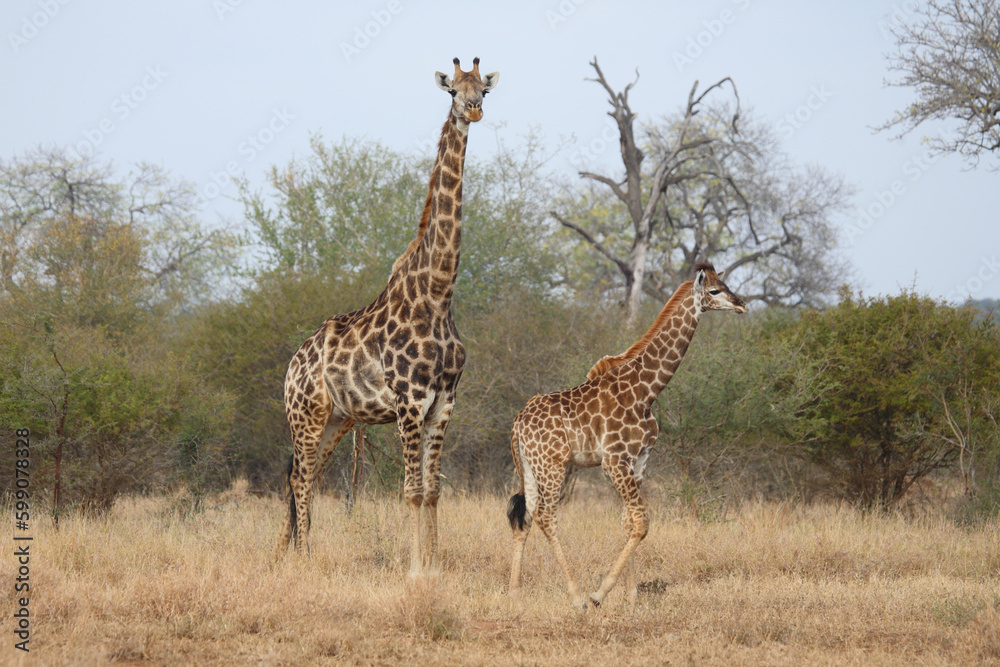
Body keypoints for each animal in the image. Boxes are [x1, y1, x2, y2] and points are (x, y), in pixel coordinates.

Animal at [275, 58, 499, 577]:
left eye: (484, 89)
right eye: (453, 91)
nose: (473, 110)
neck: (438, 294)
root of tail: (293, 365)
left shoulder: (445, 402)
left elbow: (433, 491)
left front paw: (435, 565)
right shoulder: (408, 401)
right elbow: (412, 491)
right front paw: (415, 569)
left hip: (336, 419)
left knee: (306, 475)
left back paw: (294, 552)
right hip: (306, 414)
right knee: (299, 477)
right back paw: (304, 558)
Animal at [506, 263, 746, 608]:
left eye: (726, 286)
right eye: (714, 290)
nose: (742, 304)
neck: (647, 392)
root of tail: (518, 422)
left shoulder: (639, 460)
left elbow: (629, 522)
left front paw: (631, 597)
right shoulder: (614, 461)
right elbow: (643, 522)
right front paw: (600, 593)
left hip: (528, 467)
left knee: (523, 517)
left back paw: (514, 594)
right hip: (552, 465)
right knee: (546, 517)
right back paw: (577, 595)